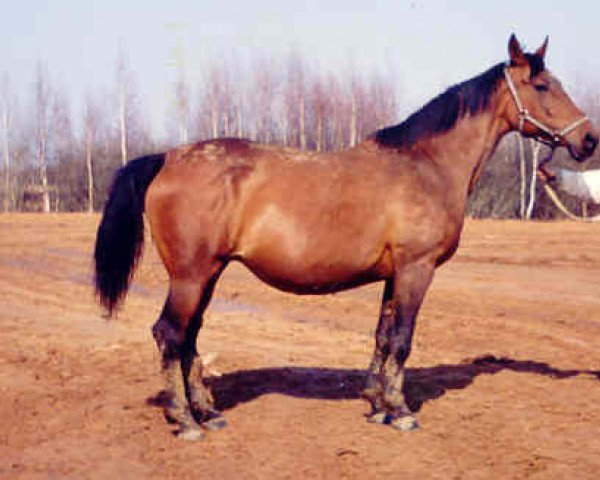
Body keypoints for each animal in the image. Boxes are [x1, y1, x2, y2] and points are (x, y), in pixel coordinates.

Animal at [92, 33, 596, 440]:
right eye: (542, 86)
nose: (589, 140)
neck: (427, 164)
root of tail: (166, 157)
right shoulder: (416, 269)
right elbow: (402, 339)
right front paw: (401, 412)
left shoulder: (395, 275)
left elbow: (382, 337)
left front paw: (377, 405)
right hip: (191, 276)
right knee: (169, 334)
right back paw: (185, 421)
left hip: (207, 275)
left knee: (190, 337)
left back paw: (208, 413)